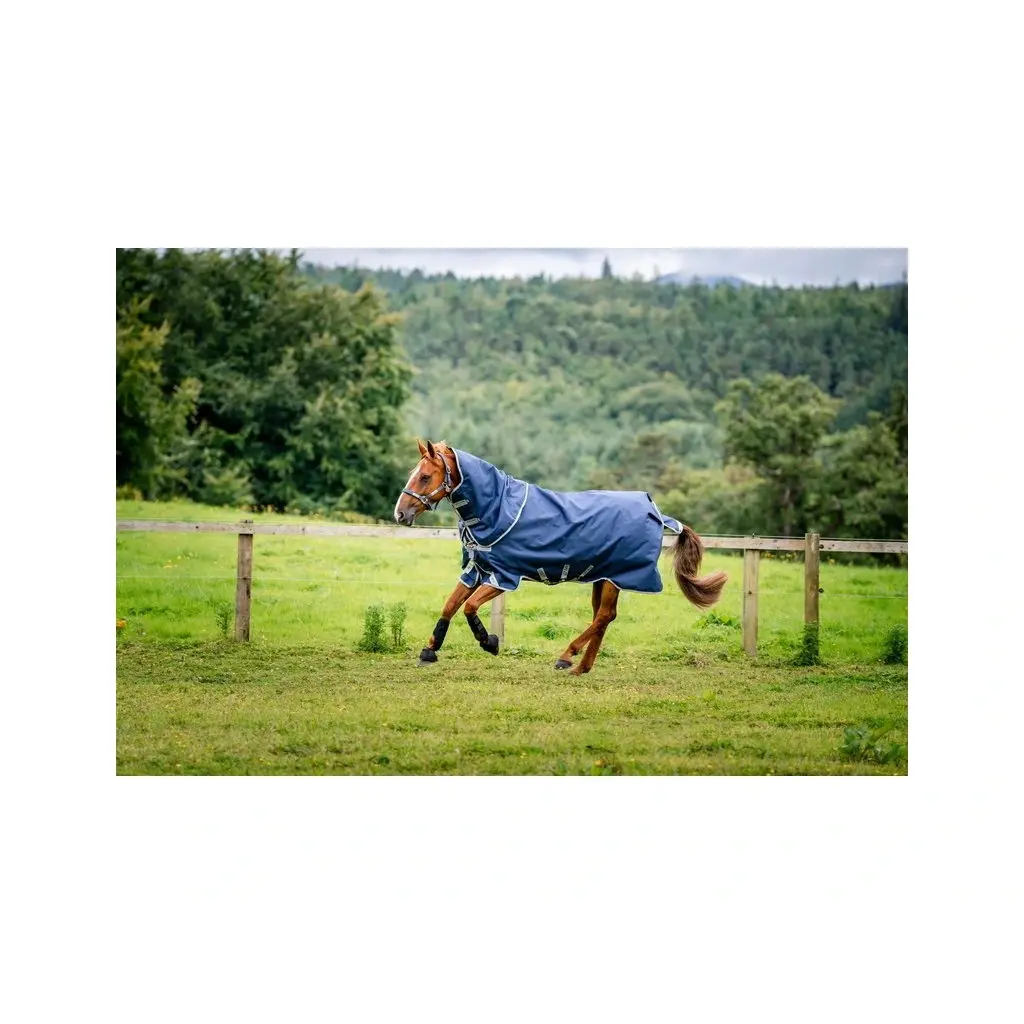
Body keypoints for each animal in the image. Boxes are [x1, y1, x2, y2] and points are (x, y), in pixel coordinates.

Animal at [394, 440, 728, 675]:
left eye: (425, 476)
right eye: (414, 474)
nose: (400, 514)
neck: (497, 509)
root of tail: (655, 511)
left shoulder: (504, 577)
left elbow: (469, 607)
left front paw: (489, 642)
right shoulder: (477, 570)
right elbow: (450, 605)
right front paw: (429, 652)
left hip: (615, 577)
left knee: (604, 616)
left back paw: (567, 657)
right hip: (603, 576)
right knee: (604, 616)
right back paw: (581, 667)